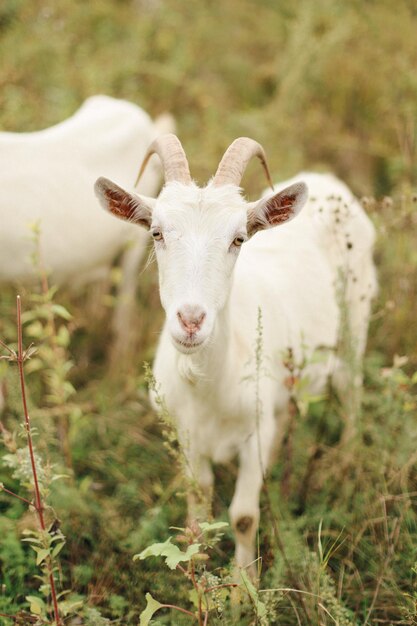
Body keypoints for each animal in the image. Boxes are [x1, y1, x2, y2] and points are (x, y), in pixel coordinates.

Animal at [95, 135, 376, 572]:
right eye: (156, 232)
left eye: (238, 238)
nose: (191, 320)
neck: (208, 387)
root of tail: (331, 184)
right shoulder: (187, 435)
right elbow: (197, 511)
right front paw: (196, 570)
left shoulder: (252, 434)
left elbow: (244, 517)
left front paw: (244, 583)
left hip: (353, 332)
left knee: (351, 396)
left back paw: (345, 469)